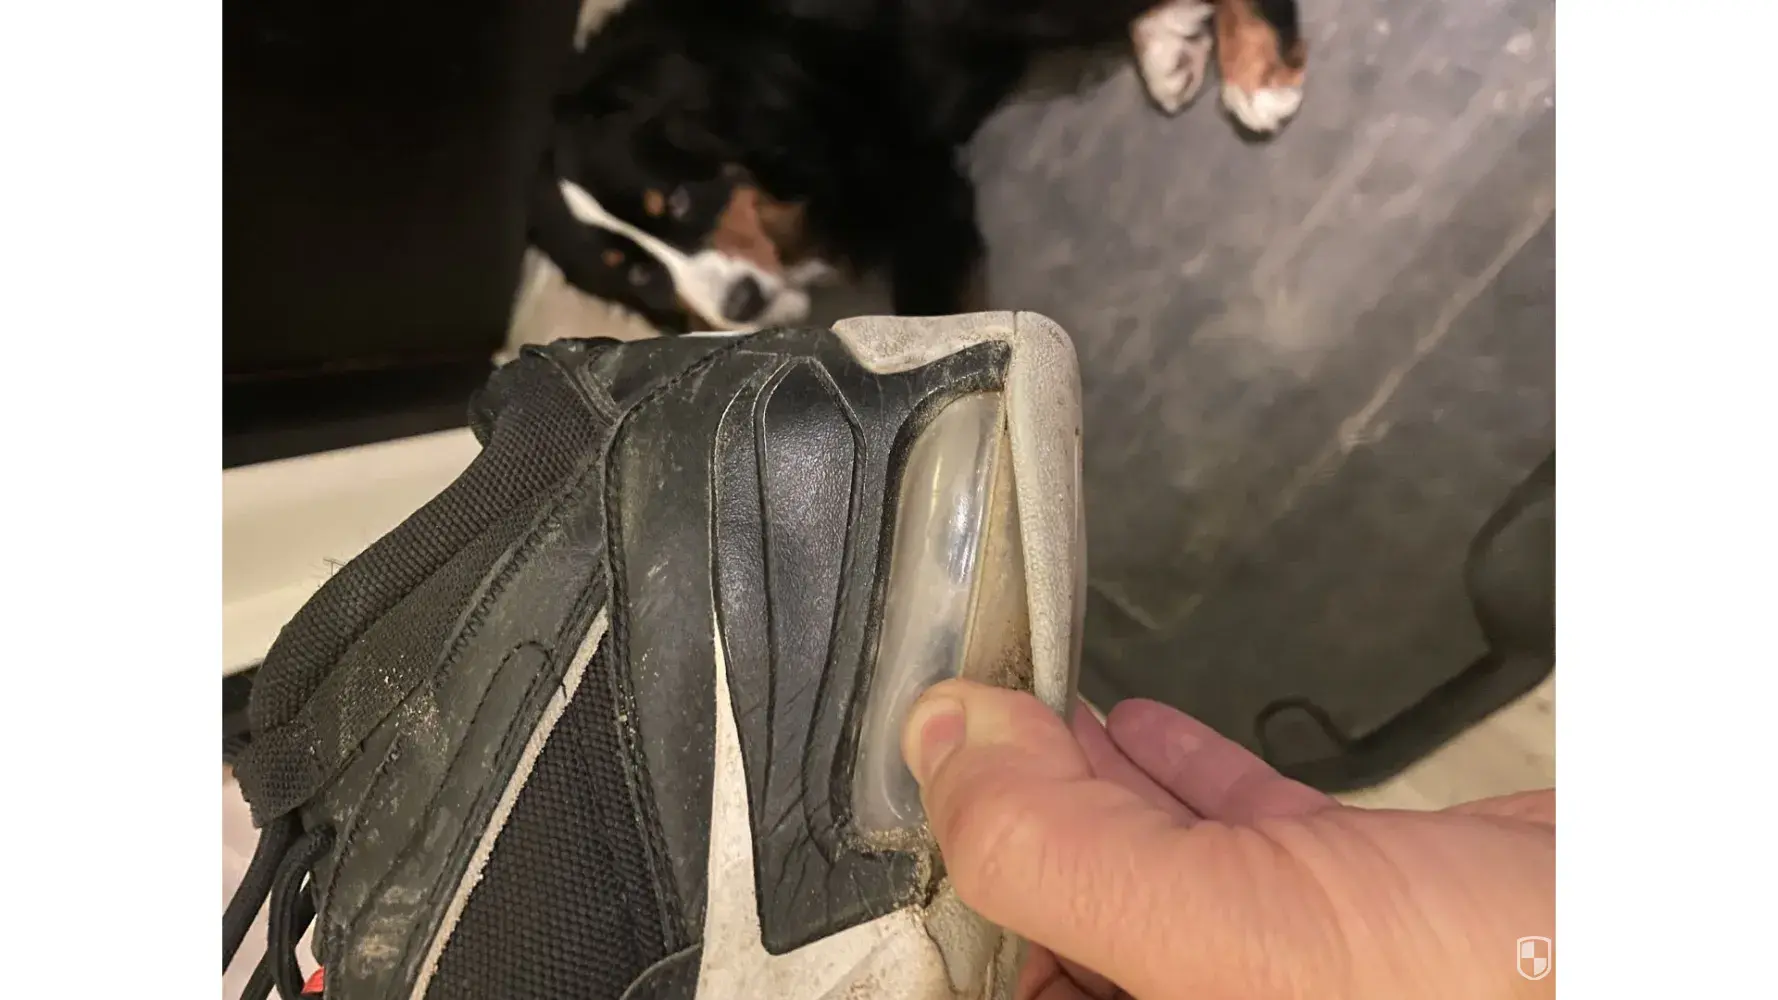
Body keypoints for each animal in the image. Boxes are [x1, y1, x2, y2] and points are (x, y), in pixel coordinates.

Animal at [529, 0, 1307, 333]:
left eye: (682, 200)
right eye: (635, 275)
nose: (739, 304)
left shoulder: (913, 185)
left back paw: (1257, 70)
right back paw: (1168, 40)